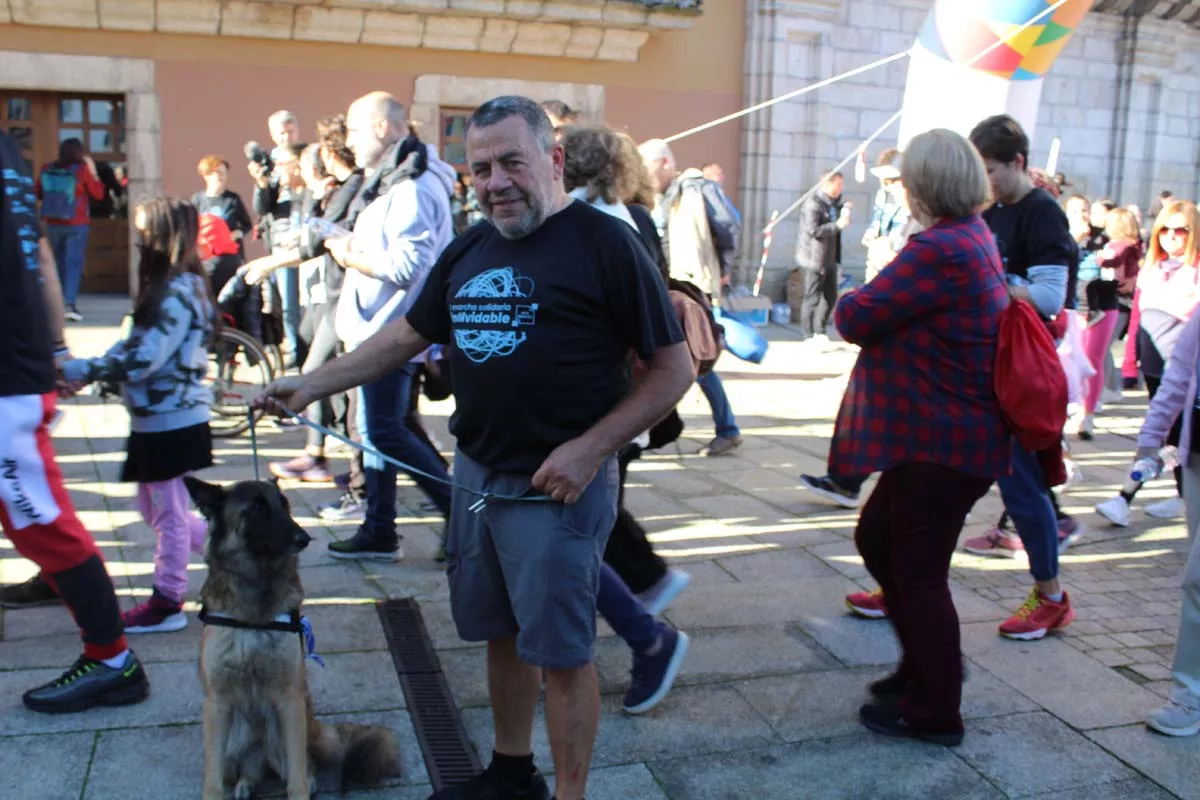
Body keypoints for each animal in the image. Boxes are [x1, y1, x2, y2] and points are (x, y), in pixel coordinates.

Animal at [182, 479, 398, 796]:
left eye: (283, 504)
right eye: (257, 508)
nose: (304, 538)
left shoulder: (289, 700)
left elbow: (297, 778)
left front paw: (302, 789)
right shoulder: (217, 705)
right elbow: (213, 780)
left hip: (283, 727)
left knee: (305, 764)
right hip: (234, 736)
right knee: (247, 769)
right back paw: (245, 784)